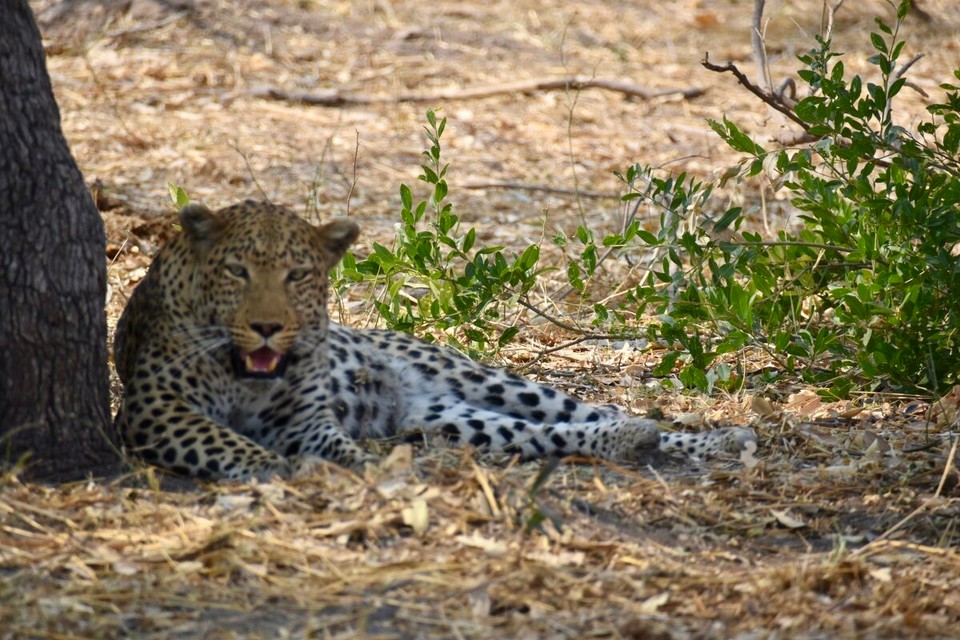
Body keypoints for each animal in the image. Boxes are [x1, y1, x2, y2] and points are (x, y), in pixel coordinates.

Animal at [113, 200, 756, 481]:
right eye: (236, 271)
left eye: (297, 275)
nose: (269, 326)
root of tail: (404, 393)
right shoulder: (153, 410)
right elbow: (227, 442)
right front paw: (280, 470)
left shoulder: (305, 420)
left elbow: (334, 448)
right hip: (448, 421)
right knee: (551, 435)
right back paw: (638, 440)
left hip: (487, 381)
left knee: (591, 411)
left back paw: (716, 437)